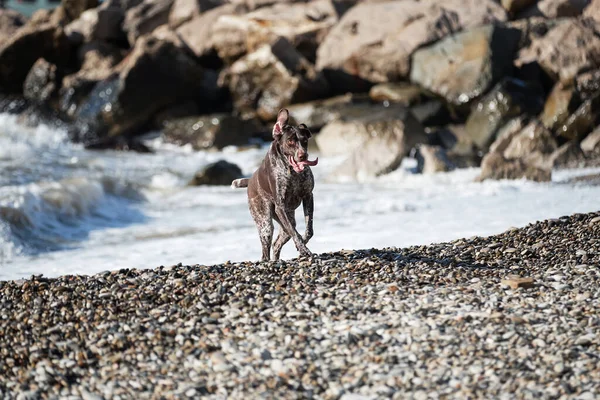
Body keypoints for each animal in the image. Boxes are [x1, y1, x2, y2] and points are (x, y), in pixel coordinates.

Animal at [232, 108, 318, 260]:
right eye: (290, 141)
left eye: (305, 140)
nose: (303, 155)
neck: (292, 172)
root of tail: (251, 180)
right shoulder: (280, 207)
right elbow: (295, 233)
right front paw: (303, 249)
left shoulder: (308, 196)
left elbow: (308, 230)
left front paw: (303, 243)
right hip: (265, 224)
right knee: (265, 251)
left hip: (285, 219)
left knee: (277, 243)